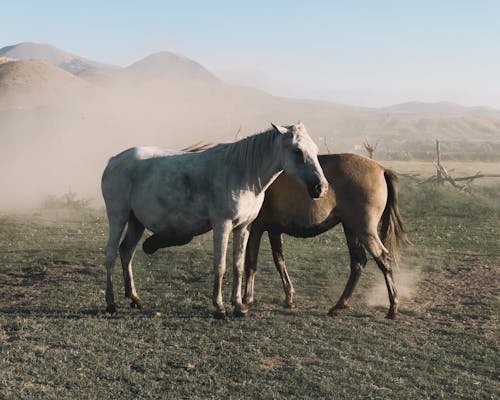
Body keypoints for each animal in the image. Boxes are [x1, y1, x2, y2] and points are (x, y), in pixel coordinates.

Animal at [101, 123, 328, 318]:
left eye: (315, 149)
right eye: (297, 151)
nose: (321, 188)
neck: (242, 174)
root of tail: (113, 160)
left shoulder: (243, 228)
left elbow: (238, 266)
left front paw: (239, 306)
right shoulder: (222, 226)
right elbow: (220, 266)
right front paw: (219, 307)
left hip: (136, 222)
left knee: (126, 252)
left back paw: (135, 299)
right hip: (118, 216)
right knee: (111, 255)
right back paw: (111, 303)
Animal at [243, 153, 406, 318]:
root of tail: (382, 169)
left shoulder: (254, 229)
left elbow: (251, 264)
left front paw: (246, 299)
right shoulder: (274, 231)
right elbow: (279, 261)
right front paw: (289, 298)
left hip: (364, 230)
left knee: (383, 260)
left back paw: (393, 307)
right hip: (351, 228)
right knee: (358, 262)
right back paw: (340, 305)